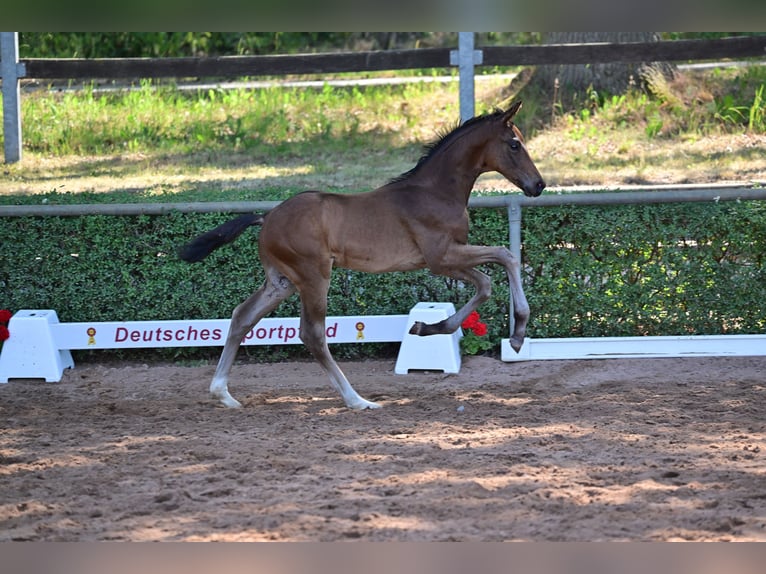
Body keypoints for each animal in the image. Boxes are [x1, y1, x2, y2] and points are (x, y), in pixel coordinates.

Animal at [180, 102, 544, 410]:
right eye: (514, 144)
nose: (538, 185)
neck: (434, 192)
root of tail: (266, 218)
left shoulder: (444, 260)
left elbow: (488, 279)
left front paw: (427, 327)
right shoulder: (441, 258)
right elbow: (503, 260)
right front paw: (516, 335)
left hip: (281, 282)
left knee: (243, 316)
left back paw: (223, 394)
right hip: (313, 277)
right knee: (312, 334)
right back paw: (357, 400)